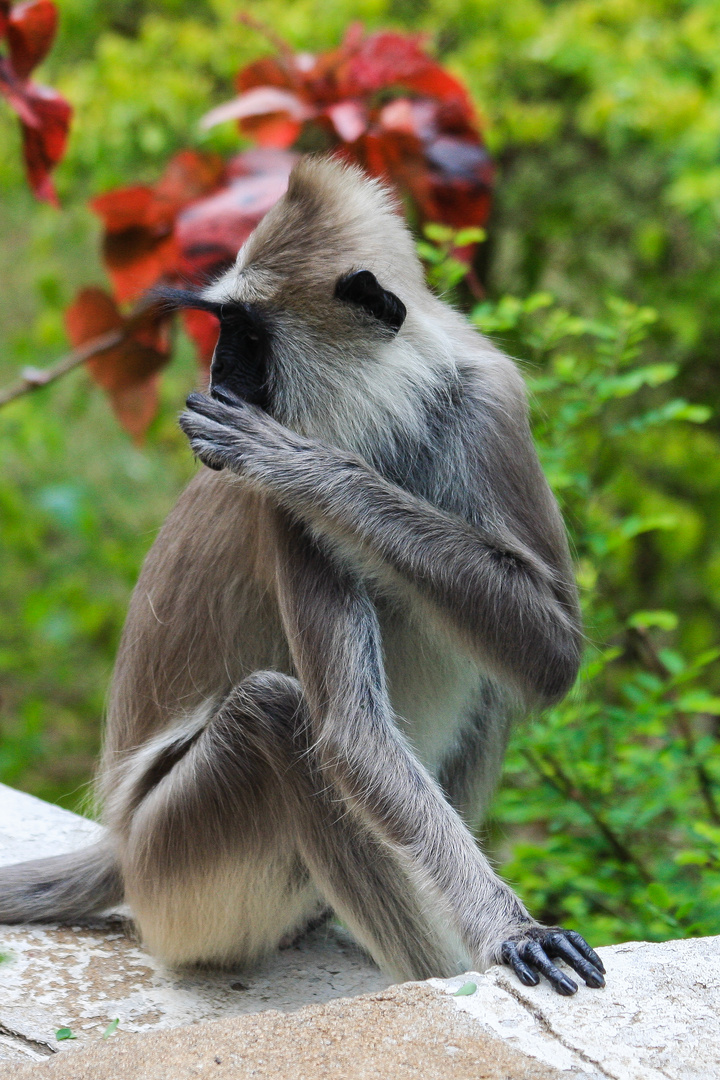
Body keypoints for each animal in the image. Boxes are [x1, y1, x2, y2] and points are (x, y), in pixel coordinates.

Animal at [0, 154, 608, 993]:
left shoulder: (487, 402)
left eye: (246, 336)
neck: (388, 411)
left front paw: (309, 469)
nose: (217, 375)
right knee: (274, 713)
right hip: (172, 871)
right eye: (223, 329)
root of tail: (120, 847)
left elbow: (552, 653)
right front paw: (510, 932)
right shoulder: (278, 508)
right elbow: (350, 735)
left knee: (489, 681)